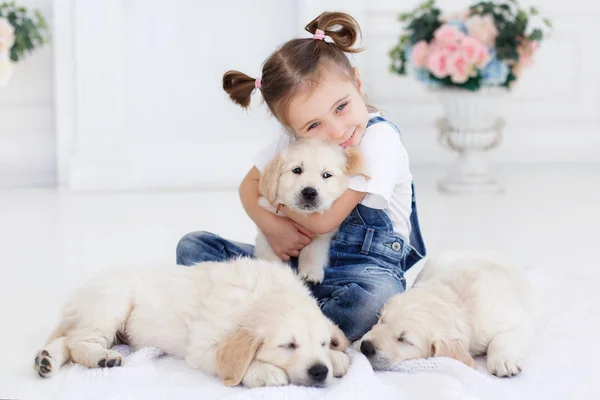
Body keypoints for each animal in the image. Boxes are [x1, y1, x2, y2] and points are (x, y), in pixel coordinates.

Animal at [32, 256, 350, 388]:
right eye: (288, 345)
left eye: (322, 343)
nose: (319, 371)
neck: (261, 296)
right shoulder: (203, 347)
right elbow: (231, 362)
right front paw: (264, 372)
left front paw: (337, 358)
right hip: (111, 303)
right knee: (78, 340)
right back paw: (101, 358)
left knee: (67, 340)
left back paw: (46, 360)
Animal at [356, 252, 540, 376]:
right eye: (381, 320)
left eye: (404, 340)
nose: (366, 347)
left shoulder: (516, 321)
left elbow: (501, 339)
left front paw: (503, 361)